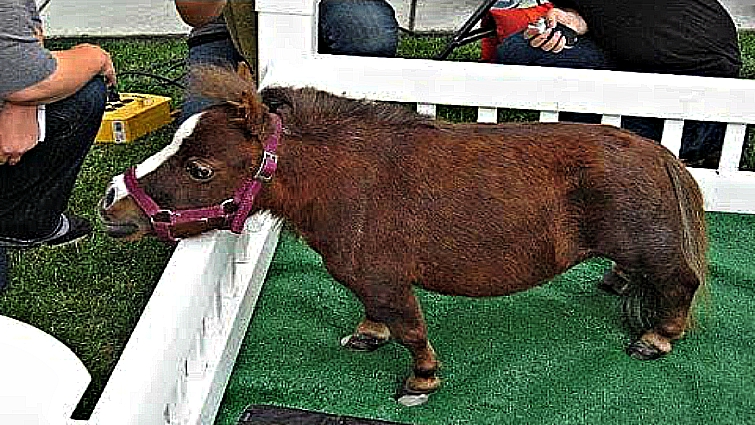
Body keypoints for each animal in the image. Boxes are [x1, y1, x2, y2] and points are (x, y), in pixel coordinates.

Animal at [99, 68, 708, 406]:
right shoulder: (366, 281)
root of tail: (659, 154)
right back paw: (616, 282)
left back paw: (659, 336)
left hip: (653, 249)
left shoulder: (389, 281)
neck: (347, 180)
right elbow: (375, 317)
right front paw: (369, 335)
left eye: (200, 169)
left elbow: (411, 331)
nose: (111, 203)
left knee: (681, 282)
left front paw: (422, 380)